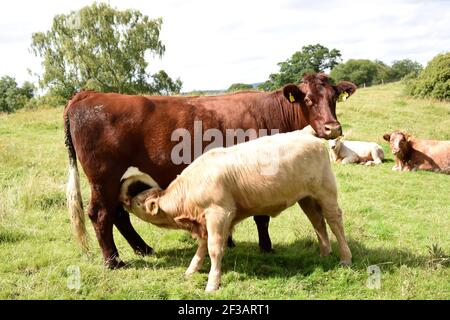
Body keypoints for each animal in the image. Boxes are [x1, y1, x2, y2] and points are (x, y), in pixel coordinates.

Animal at [65, 72, 356, 268]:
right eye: (307, 99)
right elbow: (261, 217)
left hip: (115, 180)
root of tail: (88, 94)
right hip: (104, 177)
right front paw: (266, 247)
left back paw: (143, 249)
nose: (332, 128)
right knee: (101, 214)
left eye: (334, 98)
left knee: (118, 214)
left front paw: (231, 241)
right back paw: (114, 261)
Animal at [118, 128, 352, 292]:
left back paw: (345, 258)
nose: (123, 201)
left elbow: (214, 248)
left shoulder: (218, 215)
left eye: (138, 203)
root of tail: (306, 133)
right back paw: (324, 254)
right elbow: (202, 248)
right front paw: (191, 271)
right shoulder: (205, 221)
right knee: (318, 222)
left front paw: (212, 284)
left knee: (335, 222)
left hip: (326, 192)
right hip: (307, 198)